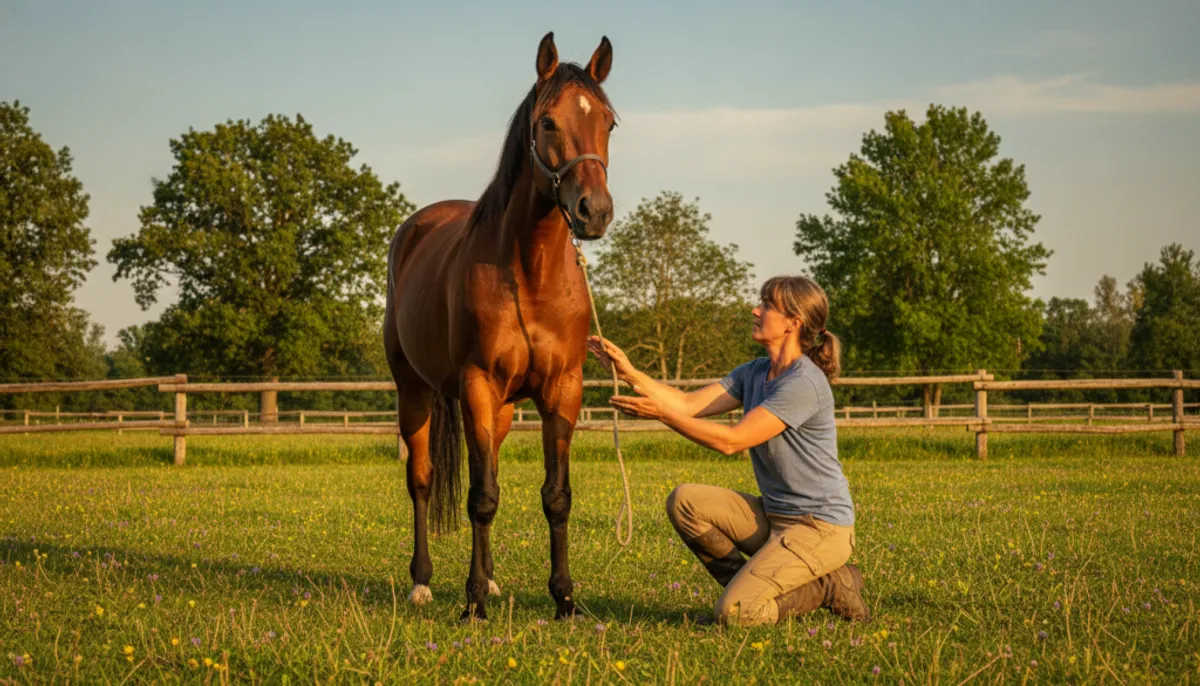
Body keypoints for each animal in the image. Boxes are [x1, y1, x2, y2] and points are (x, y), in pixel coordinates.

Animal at [383, 32, 617, 621]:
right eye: (548, 122)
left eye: (608, 122)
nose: (594, 212)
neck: (529, 276)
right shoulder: (477, 386)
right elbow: (481, 497)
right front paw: (470, 604)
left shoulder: (563, 389)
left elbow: (555, 496)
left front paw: (564, 598)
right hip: (415, 392)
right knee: (422, 482)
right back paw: (423, 583)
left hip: (505, 408)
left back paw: (489, 580)